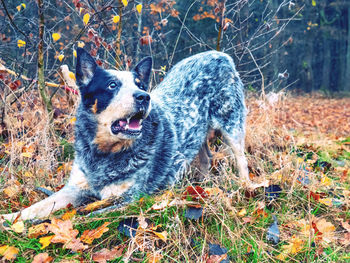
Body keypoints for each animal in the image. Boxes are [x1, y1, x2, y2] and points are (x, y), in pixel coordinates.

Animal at [0, 48, 266, 223]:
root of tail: (219, 55)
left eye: (140, 84)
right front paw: (11, 219)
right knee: (205, 157)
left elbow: (80, 217)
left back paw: (245, 186)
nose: (143, 96)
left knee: (241, 159)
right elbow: (39, 206)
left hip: (231, 124)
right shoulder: (74, 188)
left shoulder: (128, 199)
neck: (104, 155)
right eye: (111, 85)